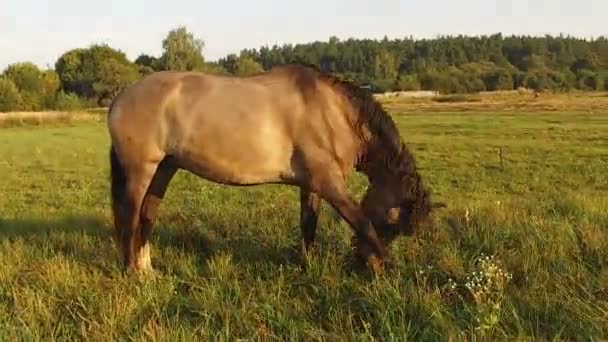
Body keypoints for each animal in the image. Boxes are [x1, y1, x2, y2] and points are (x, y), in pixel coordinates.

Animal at [107, 62, 434, 274]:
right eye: (393, 221)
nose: (370, 264)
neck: (333, 113)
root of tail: (120, 97)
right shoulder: (330, 184)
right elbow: (361, 221)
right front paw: (392, 270)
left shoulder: (311, 185)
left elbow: (308, 225)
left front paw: (307, 266)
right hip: (140, 170)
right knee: (130, 218)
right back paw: (132, 274)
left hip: (164, 169)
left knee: (147, 217)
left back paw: (147, 271)